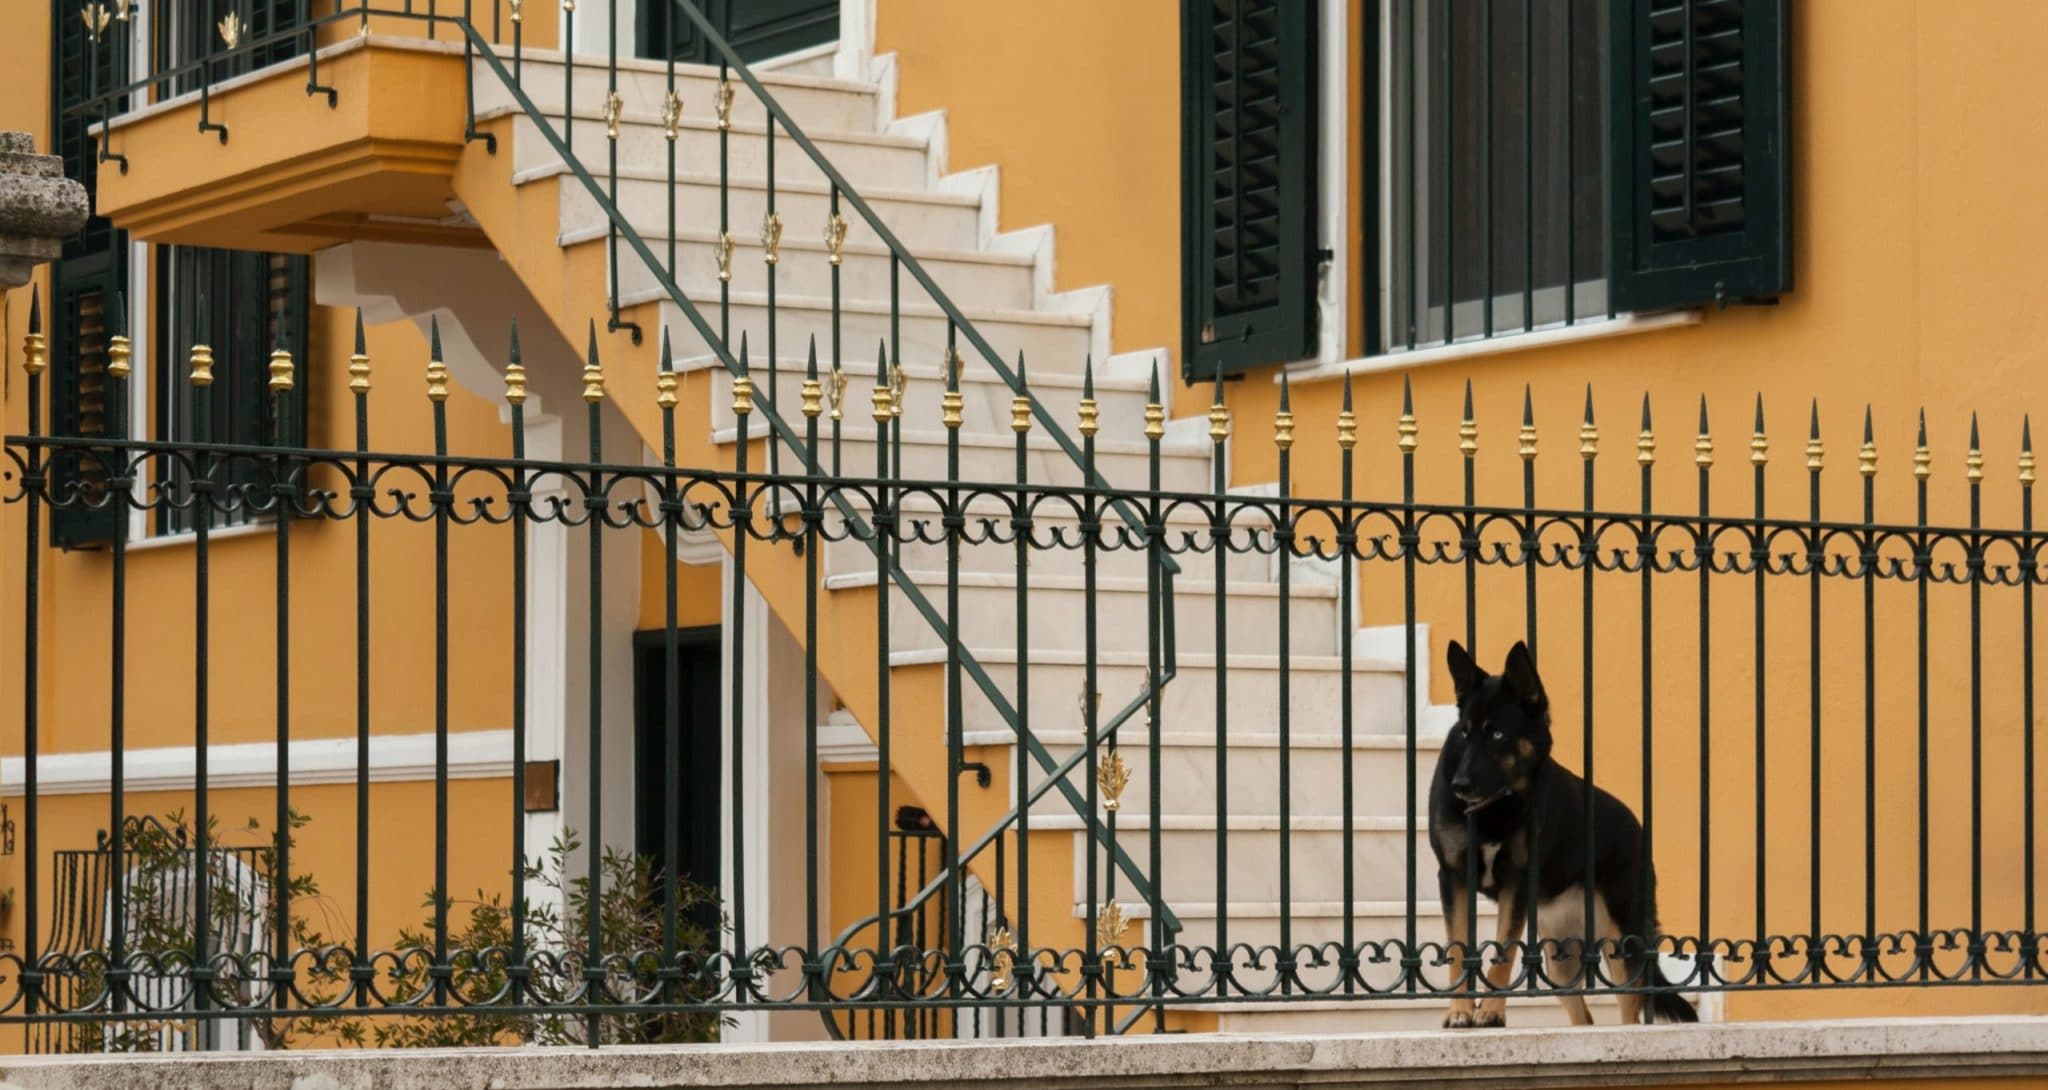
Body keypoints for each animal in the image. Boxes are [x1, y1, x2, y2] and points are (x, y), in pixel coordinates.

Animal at [1425, 643, 1695, 1024]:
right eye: (1465, 734)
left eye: (1497, 734)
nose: (1459, 787)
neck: (1498, 802)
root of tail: (1638, 828)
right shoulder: (1454, 878)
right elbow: (1458, 952)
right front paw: (1460, 1011)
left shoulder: (1516, 882)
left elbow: (1503, 955)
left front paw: (1490, 1012)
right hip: (1558, 962)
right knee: (1584, 1019)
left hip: (1621, 943)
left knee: (1629, 1008)